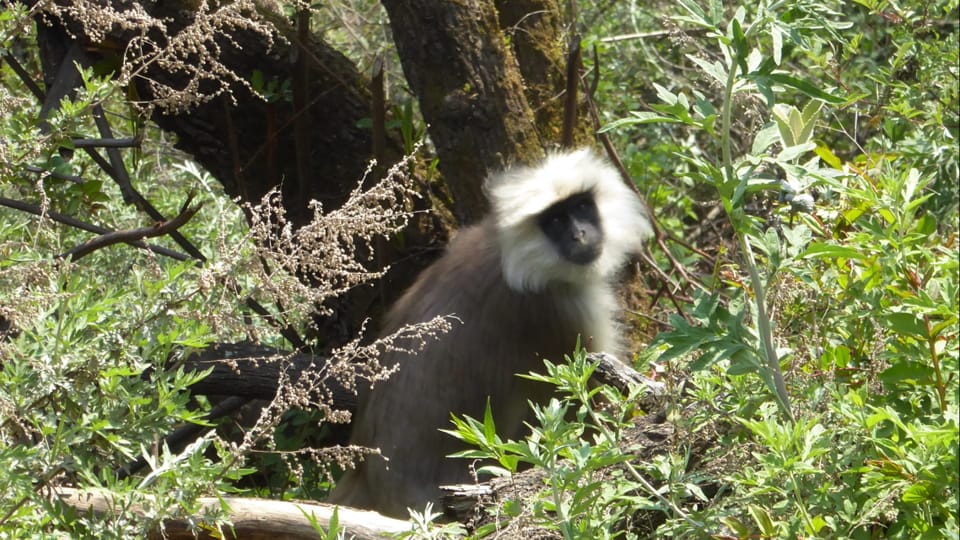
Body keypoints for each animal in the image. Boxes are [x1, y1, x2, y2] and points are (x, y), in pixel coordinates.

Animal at [329, 148, 651, 517]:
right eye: (555, 221)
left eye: (582, 206)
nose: (580, 235)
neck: (512, 260)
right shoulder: (564, 313)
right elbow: (588, 418)